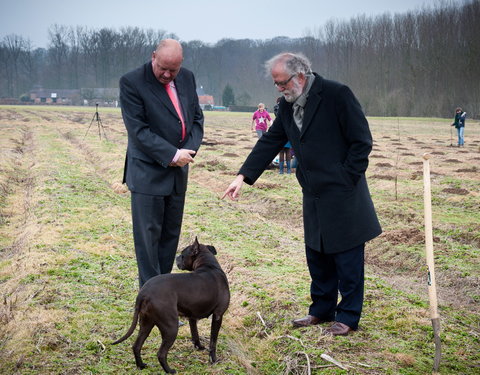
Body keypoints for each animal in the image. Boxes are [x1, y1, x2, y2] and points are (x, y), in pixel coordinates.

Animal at [113, 239, 232, 374]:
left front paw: (199, 347)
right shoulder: (218, 315)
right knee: (161, 353)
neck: (209, 265)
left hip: (146, 323)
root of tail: (144, 292)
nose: (177, 257)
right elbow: (213, 342)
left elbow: (195, 333)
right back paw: (169, 370)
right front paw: (214, 359)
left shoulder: (192, 317)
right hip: (171, 327)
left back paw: (141, 365)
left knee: (136, 346)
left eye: (182, 254)